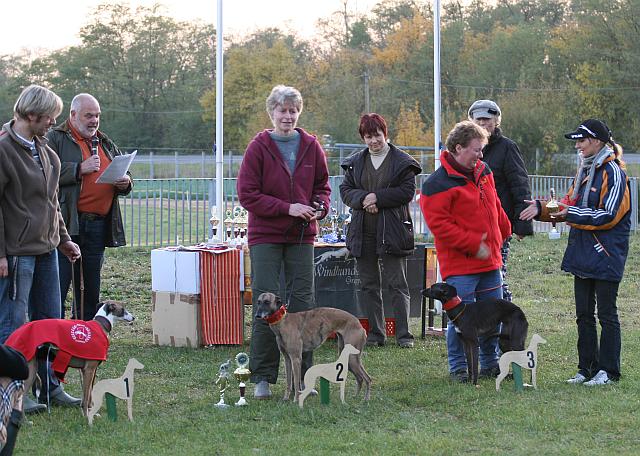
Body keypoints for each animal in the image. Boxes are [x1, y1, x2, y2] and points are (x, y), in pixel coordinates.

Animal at [5, 301, 134, 417]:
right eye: (123, 309)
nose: (133, 317)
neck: (101, 325)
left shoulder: (90, 371)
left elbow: (88, 395)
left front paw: (91, 412)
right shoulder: (89, 370)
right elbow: (86, 397)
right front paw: (86, 417)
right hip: (30, 372)